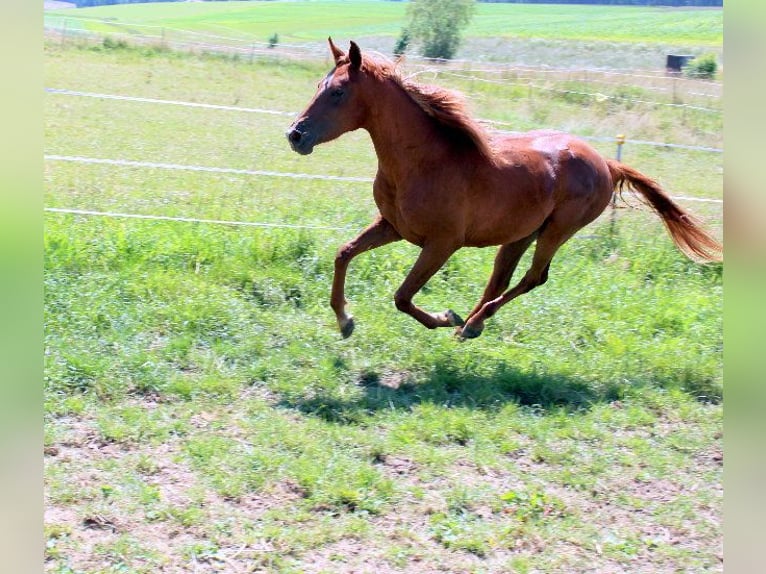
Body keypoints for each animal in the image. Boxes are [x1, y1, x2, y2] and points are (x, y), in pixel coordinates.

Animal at [286, 40, 720, 340]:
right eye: (320, 84)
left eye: (338, 92)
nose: (295, 135)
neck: (422, 162)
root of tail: (607, 164)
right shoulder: (393, 227)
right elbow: (343, 254)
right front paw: (345, 320)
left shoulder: (442, 243)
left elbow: (402, 296)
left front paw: (443, 317)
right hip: (520, 234)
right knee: (501, 278)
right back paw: (469, 326)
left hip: (558, 230)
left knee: (533, 278)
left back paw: (470, 324)